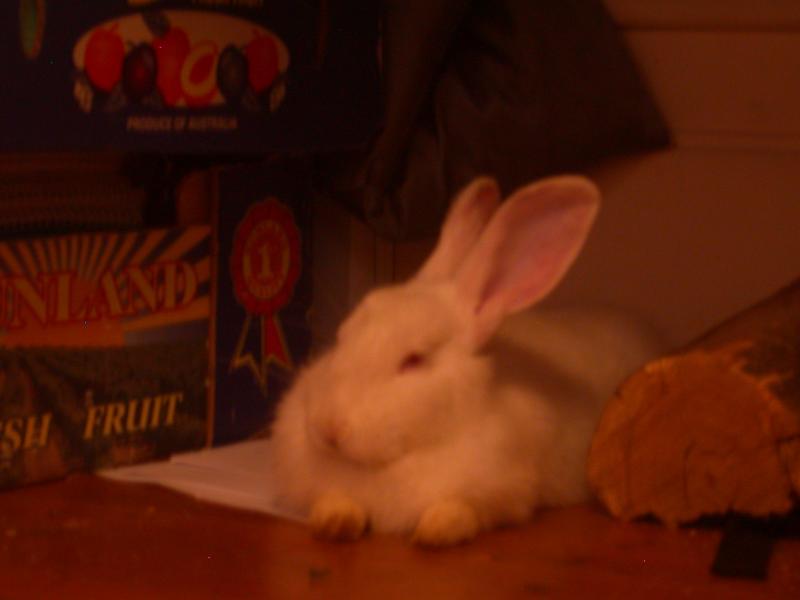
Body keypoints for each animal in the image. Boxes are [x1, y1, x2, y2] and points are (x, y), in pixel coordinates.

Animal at [267, 175, 661, 547]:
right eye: (341, 337)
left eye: (414, 360)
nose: (328, 428)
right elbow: (334, 499)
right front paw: (333, 523)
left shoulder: (503, 493)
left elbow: (462, 510)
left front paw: (434, 532)